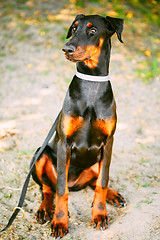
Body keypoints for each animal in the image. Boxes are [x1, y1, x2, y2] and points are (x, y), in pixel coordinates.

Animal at [31, 14, 126, 238]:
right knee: (48, 188)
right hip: (40, 154)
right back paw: (45, 209)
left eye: (92, 30)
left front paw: (99, 215)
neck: (92, 84)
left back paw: (113, 195)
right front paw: (59, 222)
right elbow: (61, 190)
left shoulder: (108, 143)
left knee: (94, 180)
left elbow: (102, 182)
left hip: (97, 161)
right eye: (74, 28)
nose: (67, 49)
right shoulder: (64, 143)